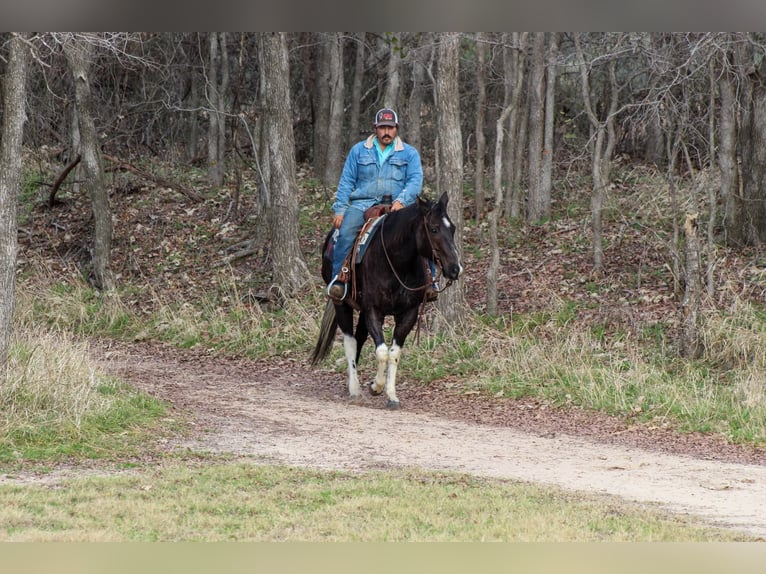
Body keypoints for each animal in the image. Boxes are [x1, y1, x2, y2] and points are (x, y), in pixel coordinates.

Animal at [310, 192, 462, 410]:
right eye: (433, 228)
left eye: (453, 228)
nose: (455, 269)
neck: (396, 262)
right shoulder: (374, 310)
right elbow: (382, 352)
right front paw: (376, 386)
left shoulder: (408, 314)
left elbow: (393, 353)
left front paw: (390, 394)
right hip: (342, 304)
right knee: (350, 341)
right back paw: (354, 388)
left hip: (362, 311)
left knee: (360, 338)